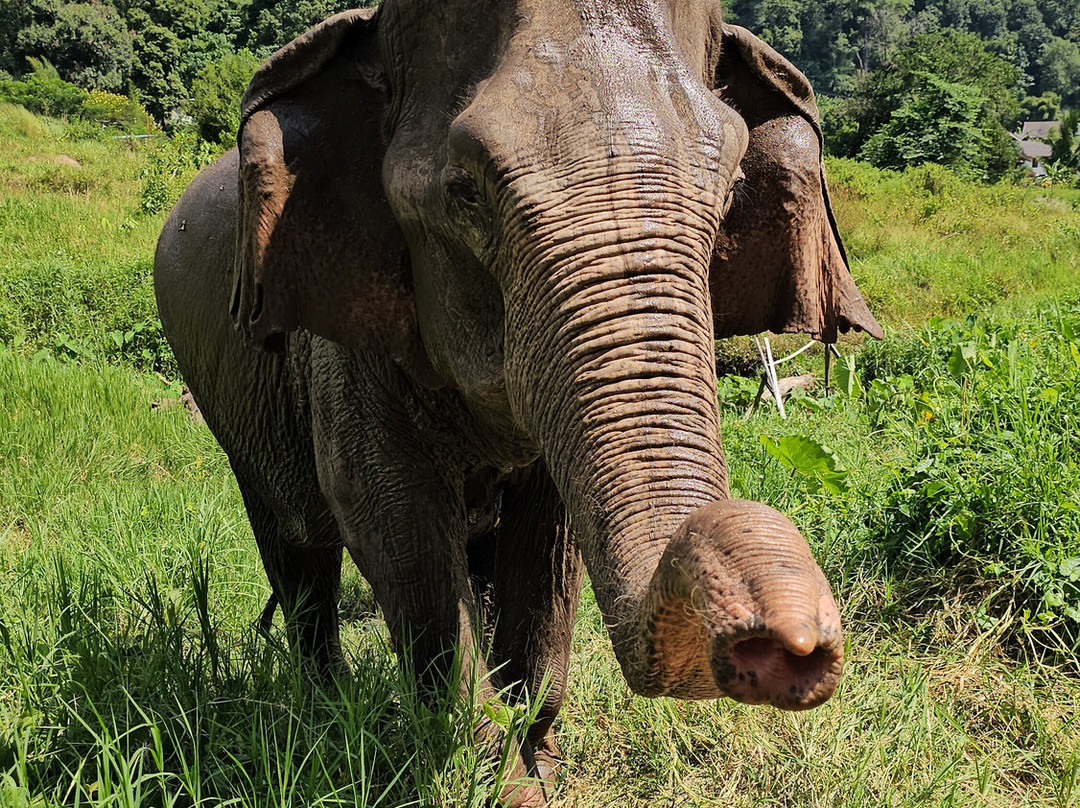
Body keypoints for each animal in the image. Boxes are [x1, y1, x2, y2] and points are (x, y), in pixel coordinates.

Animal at [154, 1, 881, 804]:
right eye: (466, 192)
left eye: (729, 192)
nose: (792, 644)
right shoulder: (345, 347)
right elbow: (389, 519)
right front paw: (496, 782)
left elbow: (550, 540)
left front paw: (541, 763)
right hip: (230, 400)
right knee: (296, 549)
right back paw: (322, 709)